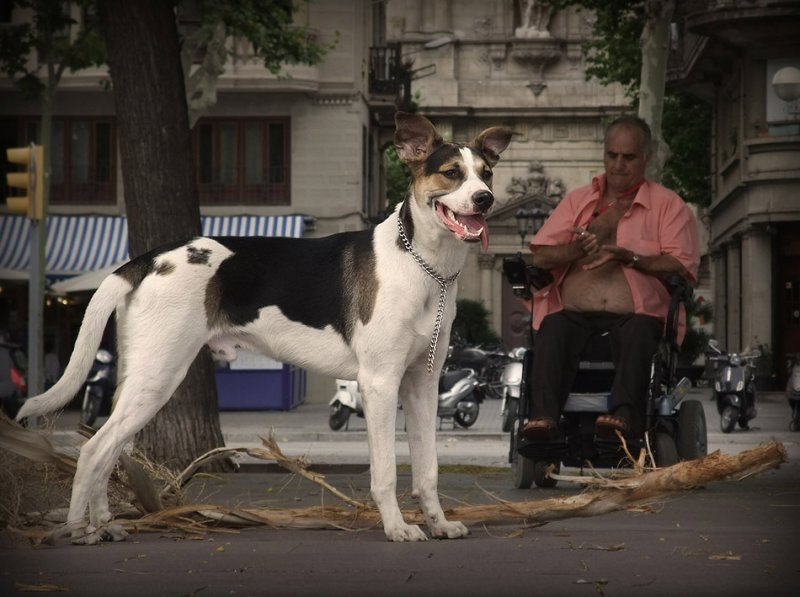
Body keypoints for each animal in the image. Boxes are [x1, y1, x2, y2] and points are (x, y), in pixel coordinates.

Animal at [17, 113, 512, 544]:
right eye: (451, 173)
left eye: (487, 174)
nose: (485, 199)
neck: (423, 264)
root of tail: (149, 258)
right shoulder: (380, 384)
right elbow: (386, 472)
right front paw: (397, 528)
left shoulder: (422, 386)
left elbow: (428, 469)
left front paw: (439, 523)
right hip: (158, 377)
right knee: (92, 451)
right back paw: (80, 532)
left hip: (142, 382)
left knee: (110, 452)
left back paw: (104, 525)